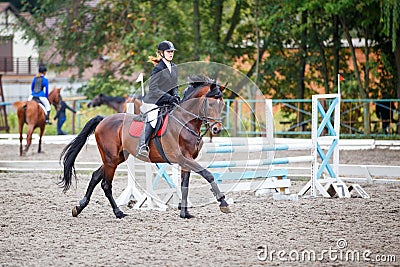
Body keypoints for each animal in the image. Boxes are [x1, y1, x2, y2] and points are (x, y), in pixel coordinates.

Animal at [57, 76, 230, 220]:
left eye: (222, 104)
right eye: (211, 103)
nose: (217, 129)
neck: (185, 122)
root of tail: (103, 119)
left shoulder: (187, 160)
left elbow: (184, 185)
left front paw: (184, 213)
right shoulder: (184, 158)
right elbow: (208, 175)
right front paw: (223, 203)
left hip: (116, 158)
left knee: (95, 176)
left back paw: (79, 207)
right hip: (111, 159)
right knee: (106, 184)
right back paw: (118, 212)